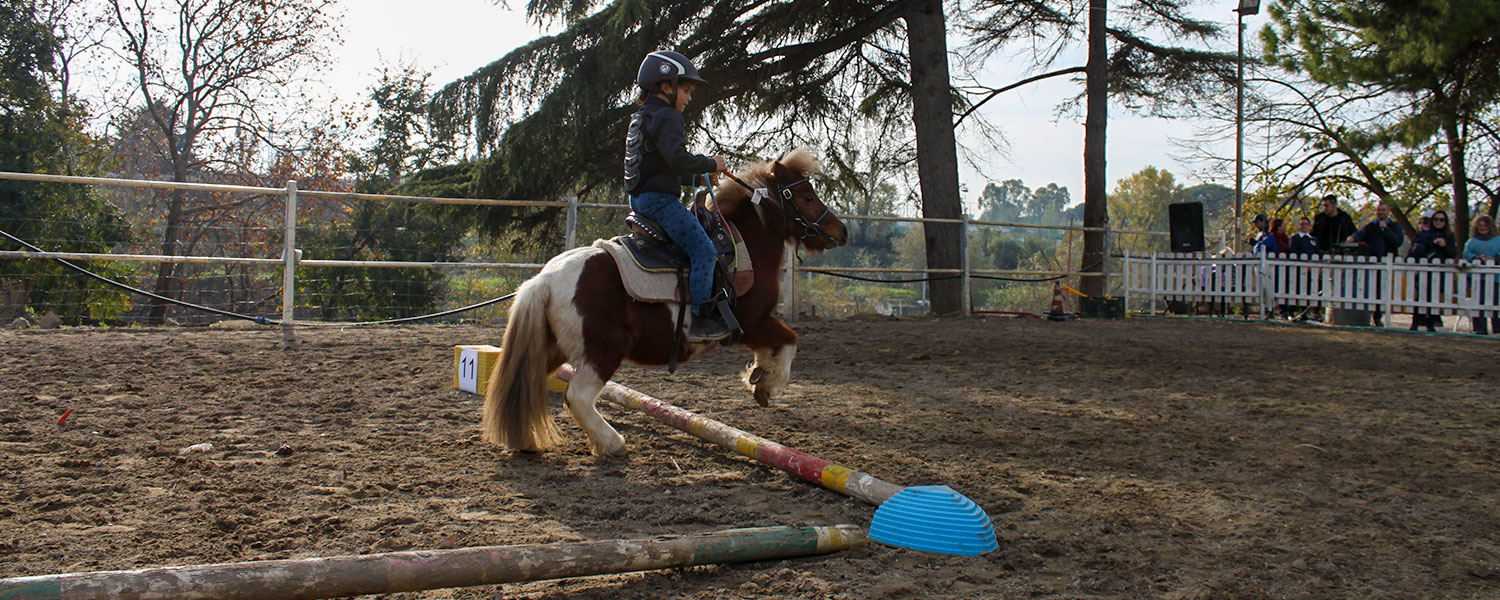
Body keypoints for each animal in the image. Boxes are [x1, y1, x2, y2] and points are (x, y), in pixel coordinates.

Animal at [486, 148, 852, 456]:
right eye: (807, 196)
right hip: (600, 353)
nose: (842, 231)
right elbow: (790, 342)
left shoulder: (755, 326)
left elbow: (776, 348)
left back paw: (527, 439)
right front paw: (766, 383)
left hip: (553, 348)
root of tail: (544, 280)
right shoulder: (753, 322)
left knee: (528, 385)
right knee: (577, 397)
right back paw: (612, 442)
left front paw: (759, 373)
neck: (744, 243)